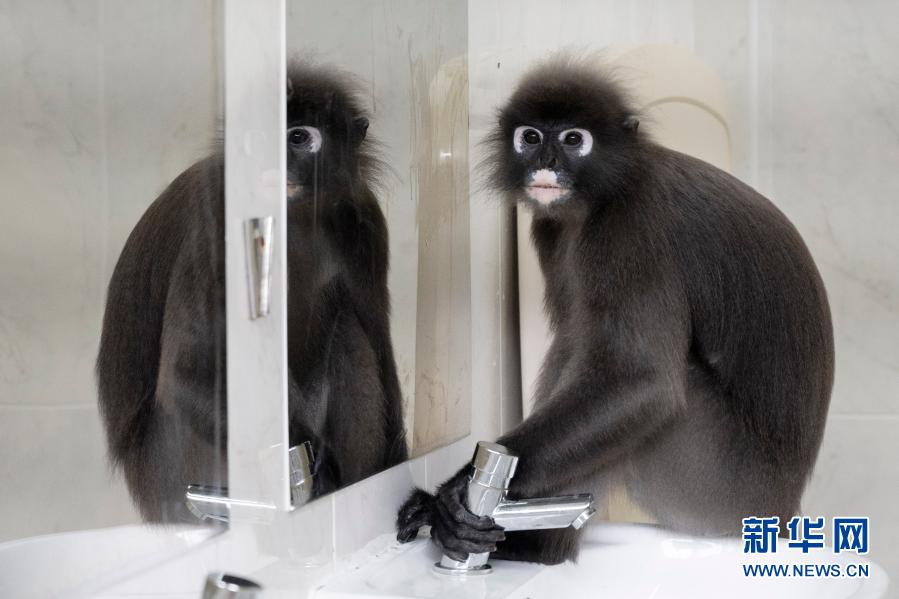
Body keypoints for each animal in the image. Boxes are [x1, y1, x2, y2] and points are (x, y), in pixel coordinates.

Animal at [96, 62, 407, 523]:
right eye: (258, 137)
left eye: (297, 137)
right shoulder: (215, 218)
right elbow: (186, 373)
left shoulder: (363, 222)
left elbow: (378, 343)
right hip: (172, 470)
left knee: (350, 330)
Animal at [396, 57, 833, 565]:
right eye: (531, 137)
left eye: (573, 139)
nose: (545, 163)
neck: (608, 189)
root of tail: (784, 508)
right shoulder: (552, 226)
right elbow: (579, 341)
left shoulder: (630, 229)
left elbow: (640, 382)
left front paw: (459, 490)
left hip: (720, 487)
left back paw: (536, 548)